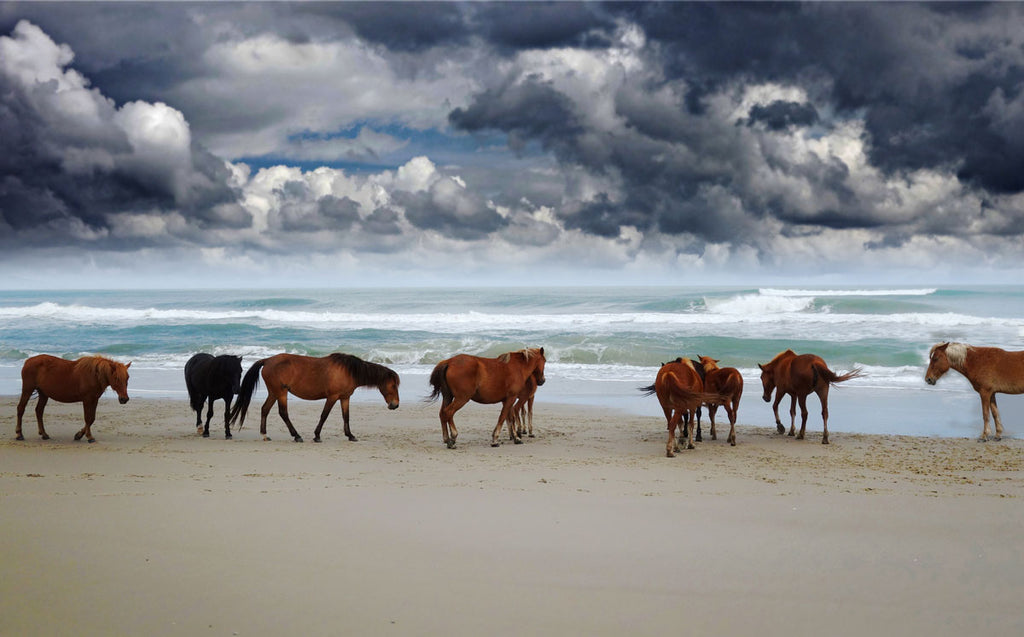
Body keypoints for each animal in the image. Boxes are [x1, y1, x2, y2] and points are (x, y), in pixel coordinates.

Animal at [228, 354, 399, 444]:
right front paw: (317, 436)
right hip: (281, 393)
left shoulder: (344, 398)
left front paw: (350, 435)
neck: (348, 371)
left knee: (265, 409)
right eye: (392, 385)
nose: (395, 405)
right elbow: (324, 415)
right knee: (283, 413)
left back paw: (265, 434)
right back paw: (296, 436)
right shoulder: (332, 397)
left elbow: (346, 416)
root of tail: (267, 360)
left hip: (274, 393)